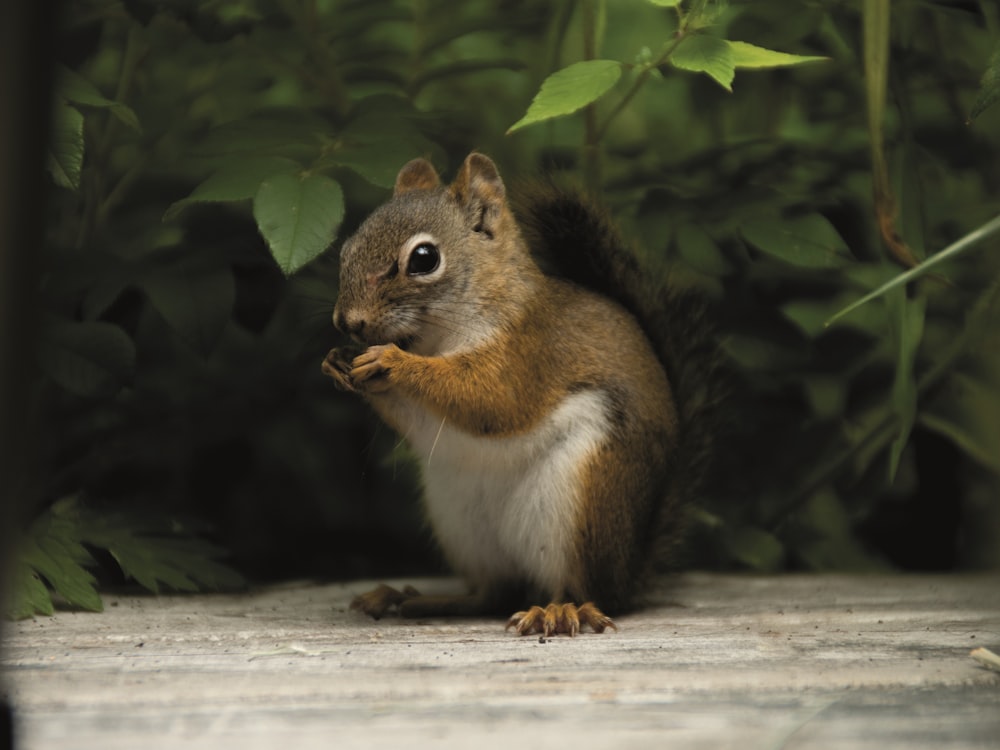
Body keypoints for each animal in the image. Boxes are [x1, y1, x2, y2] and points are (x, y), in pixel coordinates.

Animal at [320, 153, 720, 636]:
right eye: (346, 249)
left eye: (423, 259)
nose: (349, 322)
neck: (437, 339)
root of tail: (629, 572)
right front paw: (338, 360)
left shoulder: (529, 354)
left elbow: (491, 401)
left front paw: (395, 363)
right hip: (462, 524)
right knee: (493, 594)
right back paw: (414, 598)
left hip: (582, 501)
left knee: (585, 589)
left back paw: (561, 611)